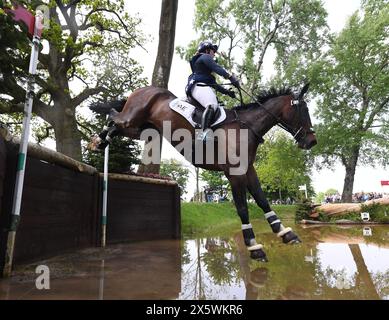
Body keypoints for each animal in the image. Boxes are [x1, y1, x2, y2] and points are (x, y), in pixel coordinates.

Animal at [89, 84, 316, 262]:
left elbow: (262, 200)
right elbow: (243, 208)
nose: (312, 141)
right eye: (303, 111)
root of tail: (144, 89)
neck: (246, 127)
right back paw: (99, 137)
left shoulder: (249, 170)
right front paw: (254, 246)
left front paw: (285, 233)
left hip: (140, 129)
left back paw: (101, 140)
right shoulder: (234, 174)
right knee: (113, 115)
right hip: (132, 119)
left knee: (116, 126)